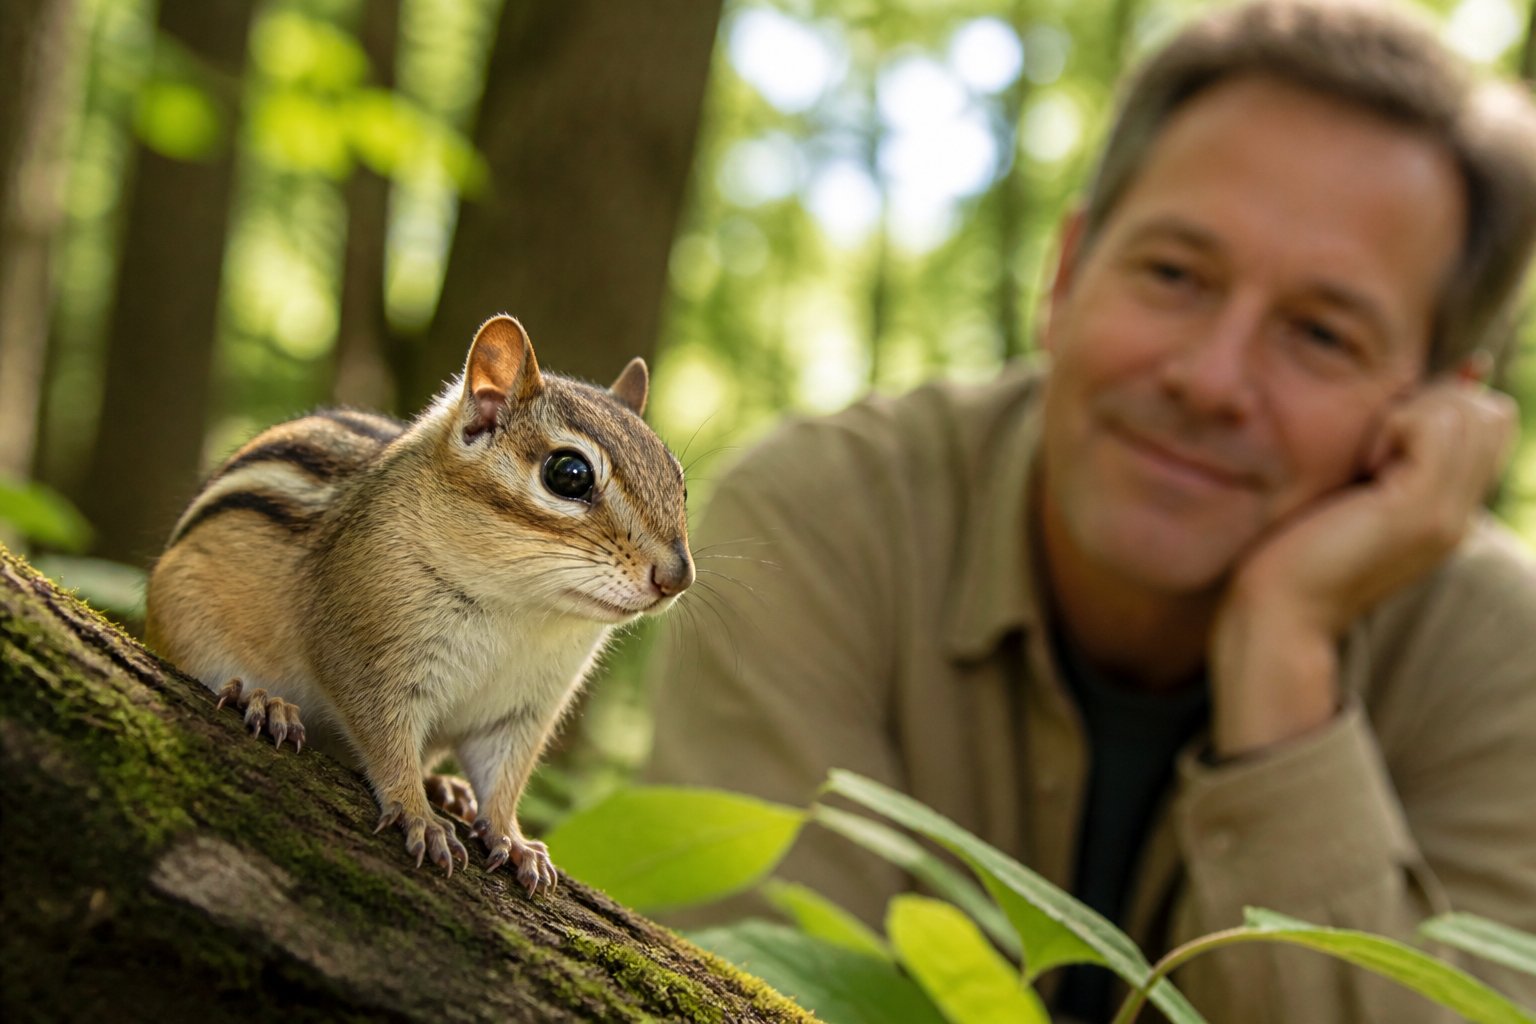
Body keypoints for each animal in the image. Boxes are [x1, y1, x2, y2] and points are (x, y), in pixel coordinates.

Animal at [145, 314, 693, 894]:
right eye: (569, 474)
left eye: (679, 483)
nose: (678, 577)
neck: (524, 613)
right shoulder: (366, 654)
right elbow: (385, 741)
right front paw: (416, 814)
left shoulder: (522, 711)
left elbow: (504, 778)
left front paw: (512, 838)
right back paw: (263, 702)